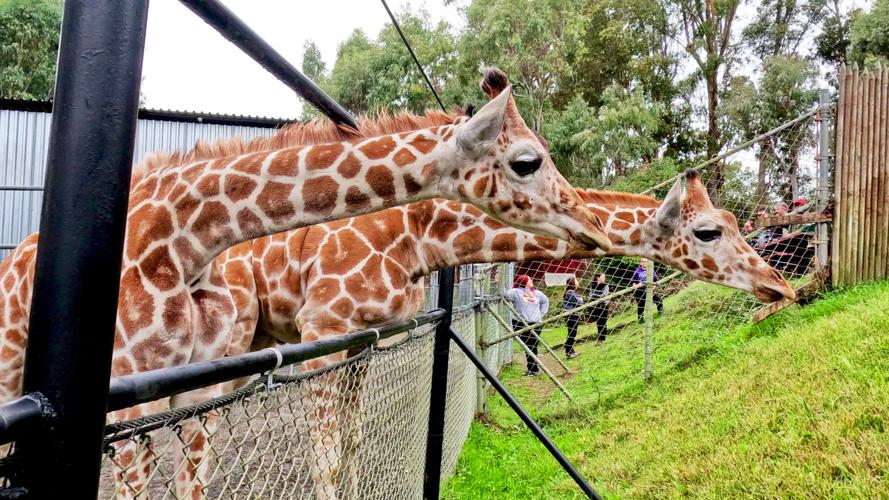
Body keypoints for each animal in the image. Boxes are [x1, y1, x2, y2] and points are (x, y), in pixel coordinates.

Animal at [0, 68, 611, 499]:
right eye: (528, 161)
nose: (591, 222)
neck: (187, 238)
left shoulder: (217, 380)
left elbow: (345, 446)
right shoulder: (133, 392)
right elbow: (327, 457)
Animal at [215, 169, 796, 497]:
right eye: (708, 231)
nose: (780, 286)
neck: (418, 238)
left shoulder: (360, 342)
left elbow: (353, 454)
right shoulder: (322, 330)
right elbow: (327, 465)